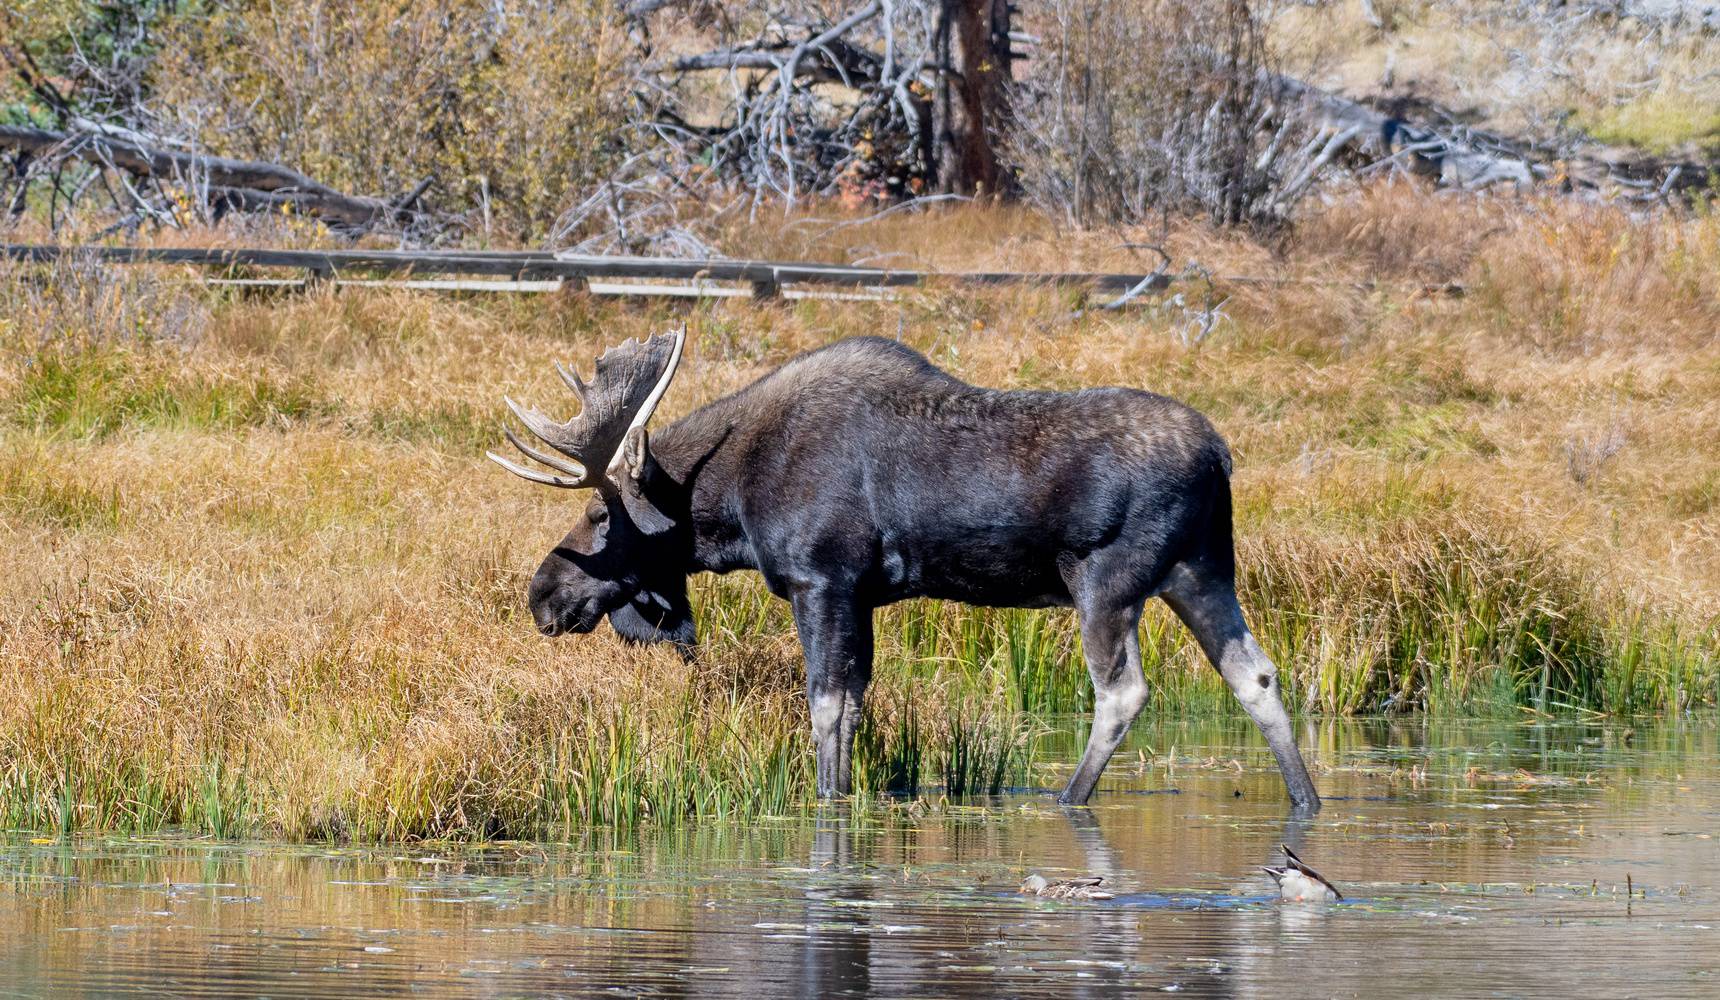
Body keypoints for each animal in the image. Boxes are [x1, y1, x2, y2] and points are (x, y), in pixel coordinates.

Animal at [491, 328, 1320, 812]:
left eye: (599, 515)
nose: (542, 596)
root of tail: (1221, 456)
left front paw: (829, 799)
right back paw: (1306, 800)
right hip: (1201, 570)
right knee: (1257, 674)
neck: (728, 503)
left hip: (1107, 580)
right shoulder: (861, 594)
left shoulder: (822, 579)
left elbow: (826, 705)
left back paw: (1069, 798)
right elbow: (857, 701)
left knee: (1123, 692)